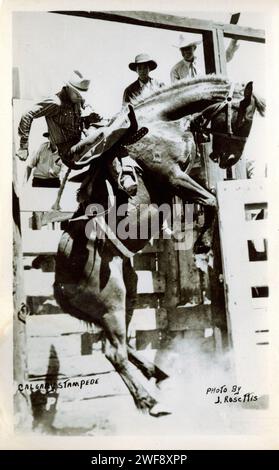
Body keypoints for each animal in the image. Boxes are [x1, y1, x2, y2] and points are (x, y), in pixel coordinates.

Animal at [53, 75, 266, 416]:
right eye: (246, 117)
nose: (229, 160)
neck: (162, 122)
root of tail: (58, 283)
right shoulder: (172, 175)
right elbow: (212, 199)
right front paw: (203, 246)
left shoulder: (178, 183)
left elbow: (207, 199)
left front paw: (202, 245)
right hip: (111, 302)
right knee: (114, 352)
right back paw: (150, 402)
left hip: (126, 294)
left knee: (122, 345)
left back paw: (159, 374)